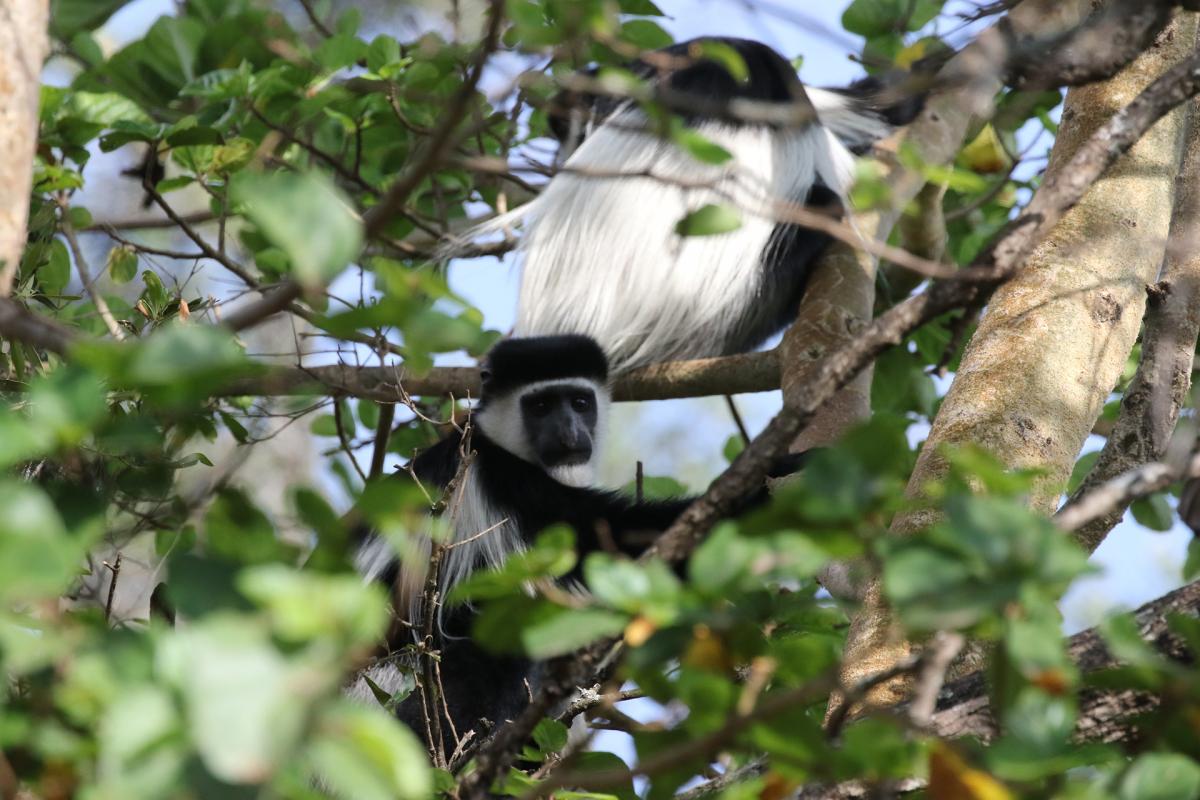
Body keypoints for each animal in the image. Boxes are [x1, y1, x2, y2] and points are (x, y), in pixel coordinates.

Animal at [350, 335, 801, 753]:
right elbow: (613, 542)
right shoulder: (511, 485)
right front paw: (779, 472)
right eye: (540, 406)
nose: (569, 432)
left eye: (580, 402)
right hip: (395, 681)